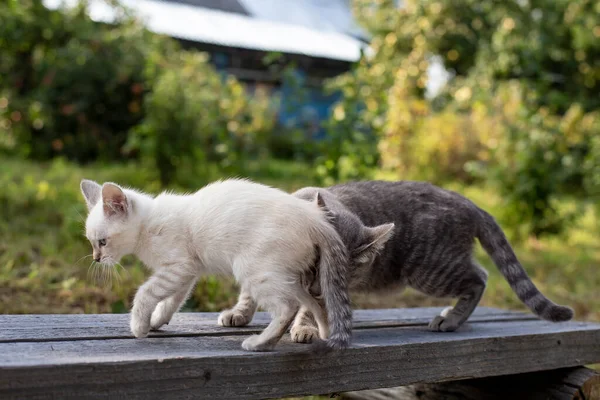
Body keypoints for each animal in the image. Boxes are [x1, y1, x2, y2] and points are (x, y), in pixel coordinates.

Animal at [79, 178, 352, 350]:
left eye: (102, 242)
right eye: (91, 243)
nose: (96, 258)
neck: (148, 225)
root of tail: (315, 219)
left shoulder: (178, 266)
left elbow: (145, 293)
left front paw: (138, 326)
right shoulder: (186, 272)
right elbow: (171, 302)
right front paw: (155, 322)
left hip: (253, 269)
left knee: (288, 307)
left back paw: (260, 343)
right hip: (284, 275)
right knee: (315, 302)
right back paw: (325, 332)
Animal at [219, 180, 572, 346]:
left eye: (341, 275)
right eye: (315, 264)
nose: (319, 287)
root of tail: (469, 202)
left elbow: (307, 306)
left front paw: (303, 326)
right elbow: (249, 291)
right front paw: (240, 313)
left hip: (430, 270)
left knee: (479, 277)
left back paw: (451, 319)